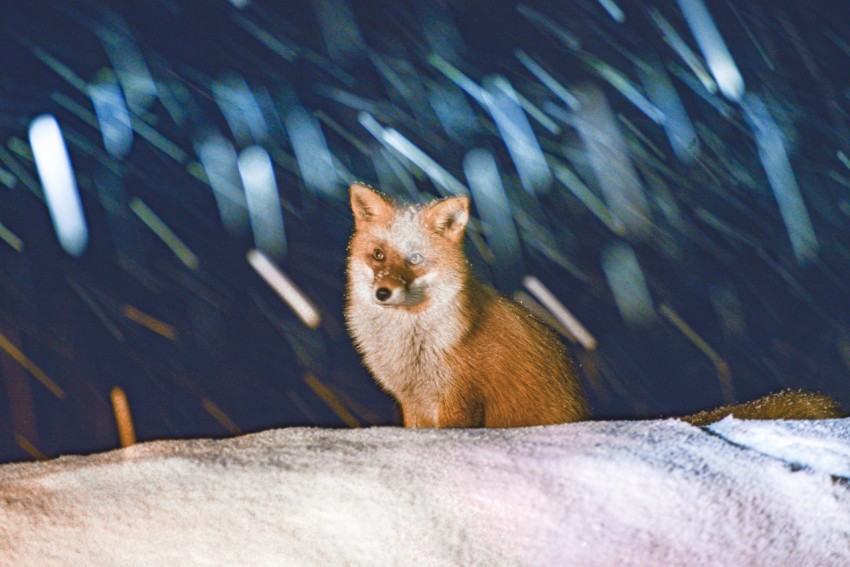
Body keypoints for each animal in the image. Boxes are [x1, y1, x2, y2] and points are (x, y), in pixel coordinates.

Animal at [344, 183, 843, 428]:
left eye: (414, 260)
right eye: (379, 255)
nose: (383, 293)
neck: (412, 344)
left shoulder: (458, 401)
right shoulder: (411, 403)